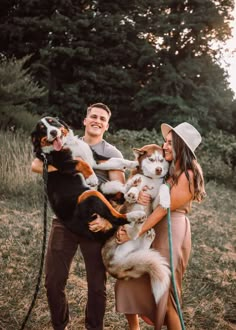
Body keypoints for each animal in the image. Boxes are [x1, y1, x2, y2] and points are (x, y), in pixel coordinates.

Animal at [100, 144, 171, 304]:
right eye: (151, 159)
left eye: (161, 160)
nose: (159, 169)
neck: (150, 179)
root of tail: (112, 266)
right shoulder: (127, 190)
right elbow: (128, 188)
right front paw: (133, 191)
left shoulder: (154, 203)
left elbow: (163, 188)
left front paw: (166, 200)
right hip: (123, 228)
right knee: (131, 230)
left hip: (134, 247)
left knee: (137, 239)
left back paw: (146, 235)